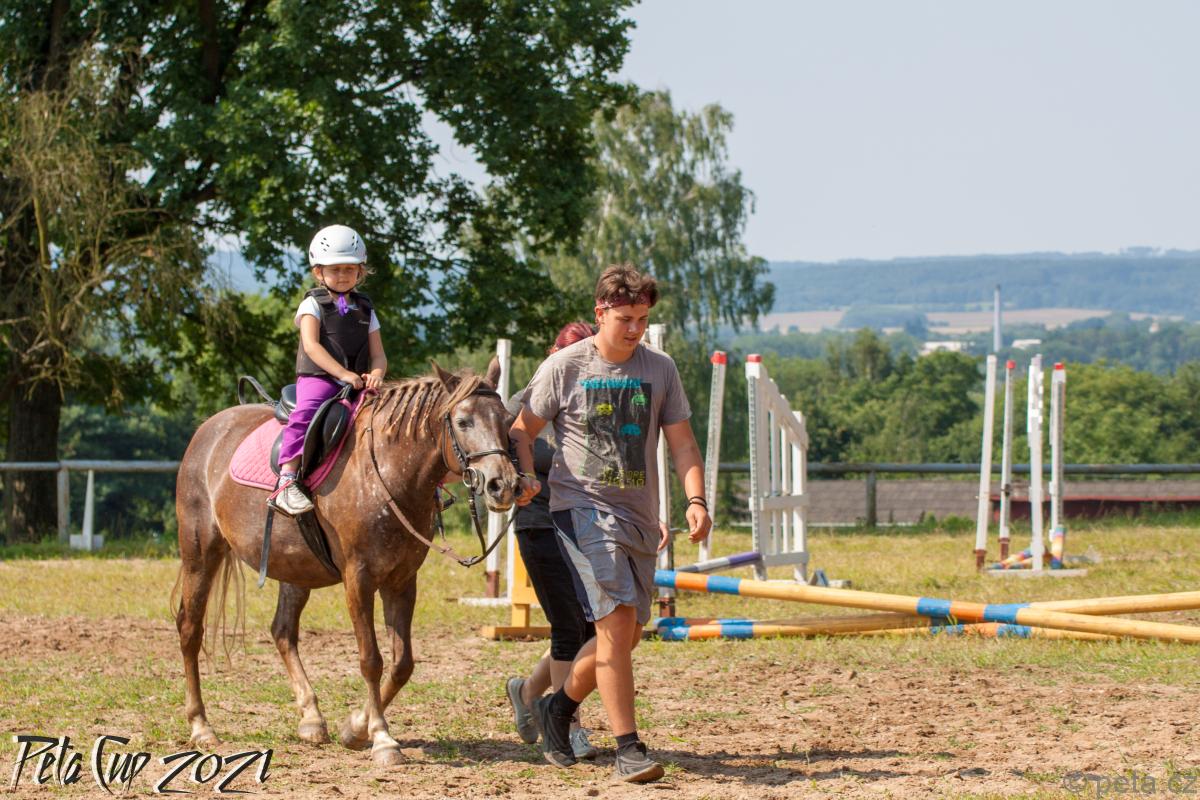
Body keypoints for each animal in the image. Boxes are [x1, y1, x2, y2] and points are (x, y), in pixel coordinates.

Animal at [172, 358, 518, 766]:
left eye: (507, 419)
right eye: (463, 422)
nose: (503, 485)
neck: (389, 474)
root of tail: (210, 430)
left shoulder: (402, 580)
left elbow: (402, 663)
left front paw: (355, 727)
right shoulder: (359, 579)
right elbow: (371, 659)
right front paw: (382, 739)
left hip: (295, 570)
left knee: (282, 631)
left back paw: (311, 718)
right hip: (200, 554)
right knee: (190, 629)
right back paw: (201, 726)